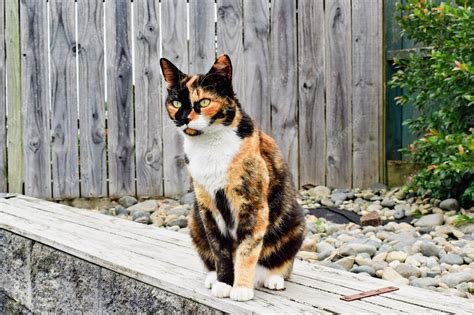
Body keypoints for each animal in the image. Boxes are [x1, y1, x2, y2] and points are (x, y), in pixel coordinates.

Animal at [161, 55, 306, 302]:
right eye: (177, 103)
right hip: (194, 220)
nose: (183, 119)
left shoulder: (252, 205)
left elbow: (247, 249)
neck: (209, 147)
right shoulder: (207, 207)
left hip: (295, 222)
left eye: (204, 102)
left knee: (282, 262)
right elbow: (219, 249)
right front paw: (223, 283)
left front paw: (241, 289)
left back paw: (273, 279)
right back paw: (212, 277)